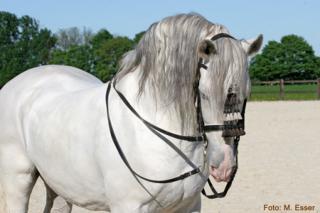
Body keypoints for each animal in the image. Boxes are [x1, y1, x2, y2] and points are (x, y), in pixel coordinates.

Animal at [0, 14, 262, 212]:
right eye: (205, 94)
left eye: (246, 93)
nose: (224, 166)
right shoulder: (129, 205)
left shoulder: (188, 206)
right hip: (19, 178)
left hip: (58, 184)